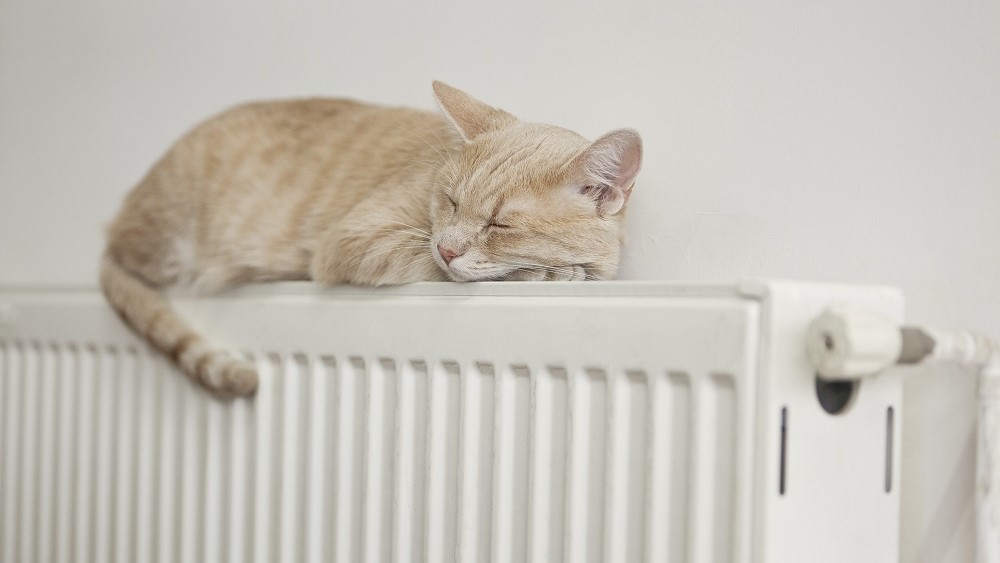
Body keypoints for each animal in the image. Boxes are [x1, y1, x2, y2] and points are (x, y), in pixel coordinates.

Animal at [101, 81, 644, 394]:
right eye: (450, 201)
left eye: (499, 224)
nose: (448, 246)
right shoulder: (357, 240)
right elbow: (440, 267)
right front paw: (552, 272)